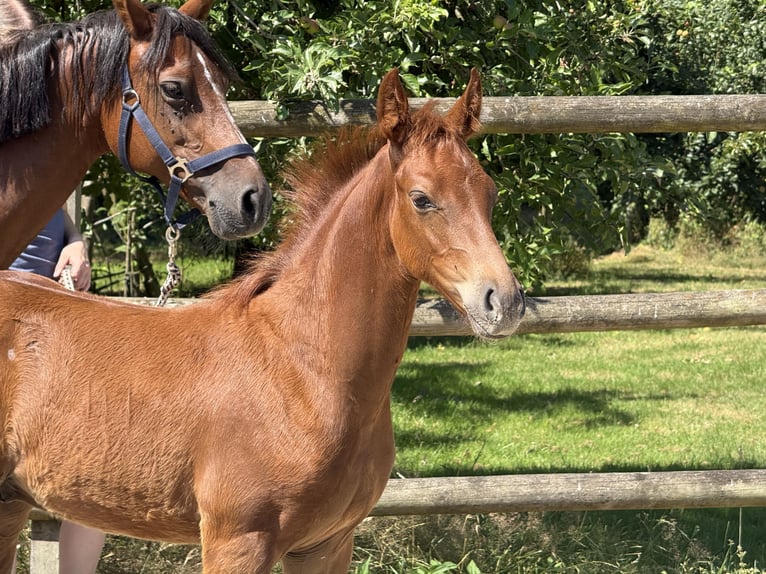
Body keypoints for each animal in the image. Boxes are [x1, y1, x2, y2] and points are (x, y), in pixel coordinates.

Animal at [0, 67, 525, 573]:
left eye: (491, 194)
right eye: (421, 199)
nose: (504, 302)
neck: (303, 368)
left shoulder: (327, 545)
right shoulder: (237, 541)